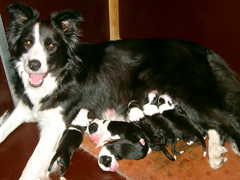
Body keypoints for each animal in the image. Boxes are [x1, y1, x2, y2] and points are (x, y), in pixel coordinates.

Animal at [0, 2, 240, 179]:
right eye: (28, 43)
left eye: (51, 46)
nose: (33, 65)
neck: (61, 75)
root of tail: (198, 47)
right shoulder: (26, 107)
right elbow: (4, 128)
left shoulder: (55, 123)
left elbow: (32, 164)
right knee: (212, 123)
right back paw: (216, 151)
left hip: (188, 92)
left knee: (227, 121)